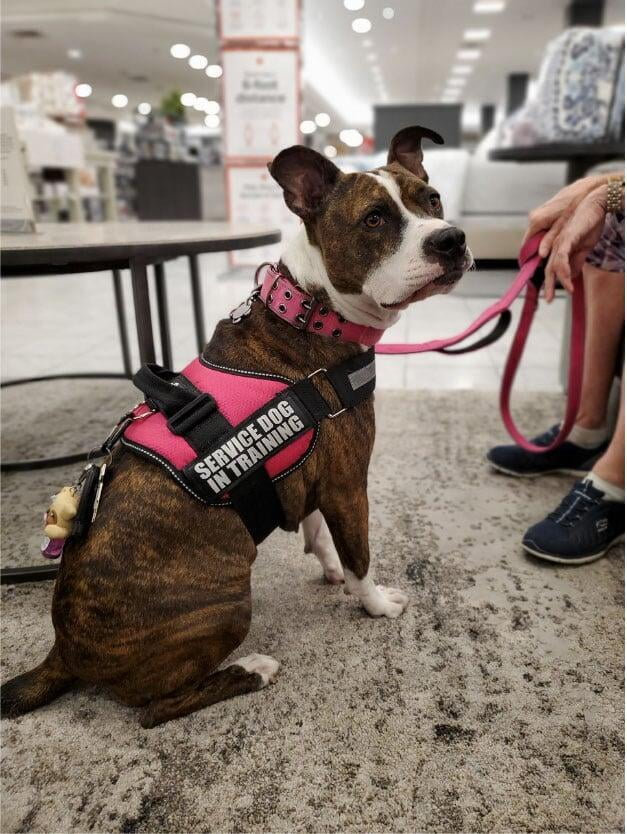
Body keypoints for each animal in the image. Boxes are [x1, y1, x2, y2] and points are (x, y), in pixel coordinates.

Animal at [1, 123, 472, 720]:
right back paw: (252, 670)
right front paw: (375, 603)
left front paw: (328, 568)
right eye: (374, 219)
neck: (310, 311)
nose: (450, 239)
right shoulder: (348, 486)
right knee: (156, 709)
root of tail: (63, 650)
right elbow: (360, 555)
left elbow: (319, 532)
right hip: (225, 607)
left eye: (431, 199)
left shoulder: (318, 480)